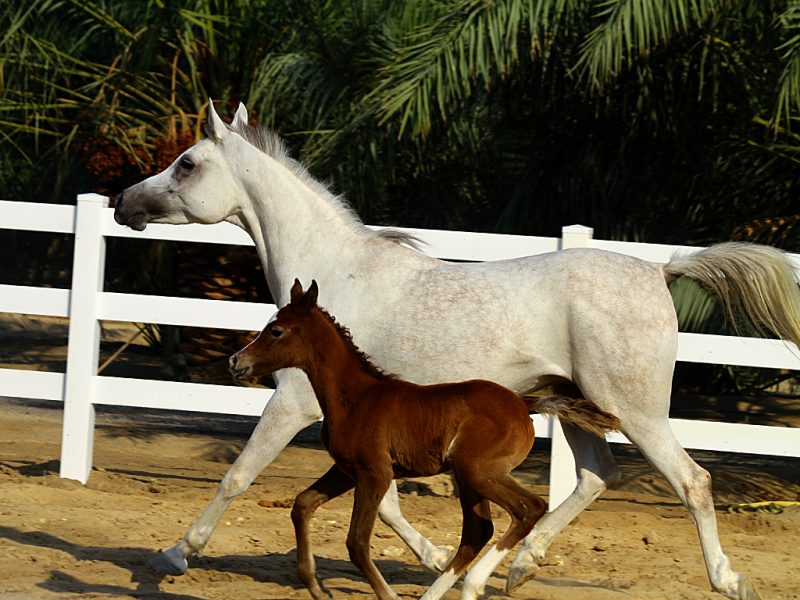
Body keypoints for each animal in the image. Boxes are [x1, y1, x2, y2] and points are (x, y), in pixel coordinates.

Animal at [228, 282, 620, 600]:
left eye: (276, 330)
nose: (235, 361)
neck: (355, 398)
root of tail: (524, 404)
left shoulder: (375, 474)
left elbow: (356, 543)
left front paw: (386, 594)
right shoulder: (347, 470)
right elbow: (302, 505)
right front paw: (316, 587)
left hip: (478, 472)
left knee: (529, 508)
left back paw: (474, 584)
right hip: (469, 478)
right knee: (477, 531)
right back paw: (437, 593)